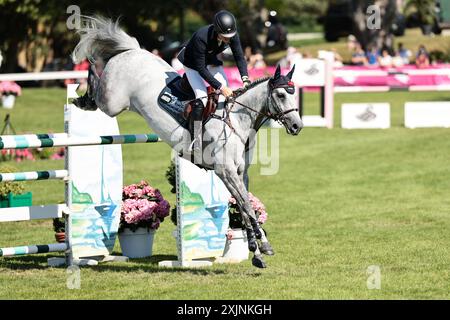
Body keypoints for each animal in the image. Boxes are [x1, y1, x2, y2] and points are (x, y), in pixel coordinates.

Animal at [72, 16, 302, 268]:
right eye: (281, 95)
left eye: (293, 94)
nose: (297, 126)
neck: (236, 120)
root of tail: (133, 51)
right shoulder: (226, 171)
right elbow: (247, 206)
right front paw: (261, 249)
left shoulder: (240, 173)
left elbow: (243, 207)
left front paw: (257, 248)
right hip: (113, 103)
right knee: (98, 89)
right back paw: (85, 85)